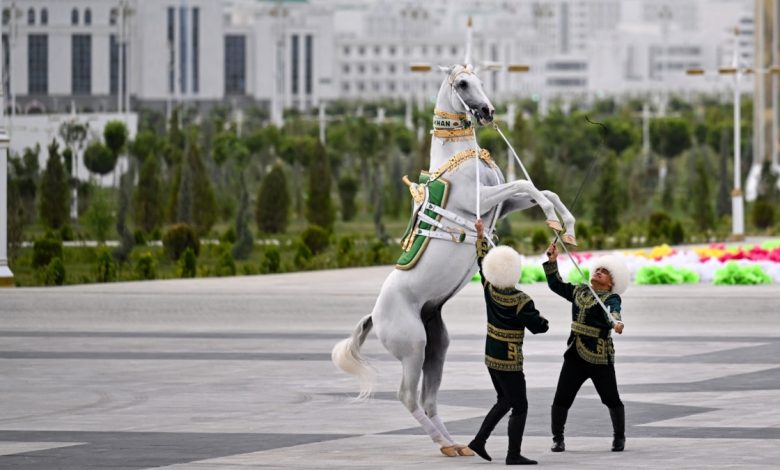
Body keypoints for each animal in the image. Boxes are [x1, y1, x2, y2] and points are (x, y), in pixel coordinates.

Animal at [330, 62, 580, 456]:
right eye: (462, 83)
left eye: (481, 80)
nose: (488, 112)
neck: (458, 158)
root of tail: (374, 315)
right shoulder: (485, 198)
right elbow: (527, 186)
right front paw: (556, 222)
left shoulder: (501, 204)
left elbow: (542, 190)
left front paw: (565, 227)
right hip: (413, 348)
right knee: (407, 396)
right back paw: (445, 444)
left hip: (437, 346)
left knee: (428, 398)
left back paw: (455, 445)